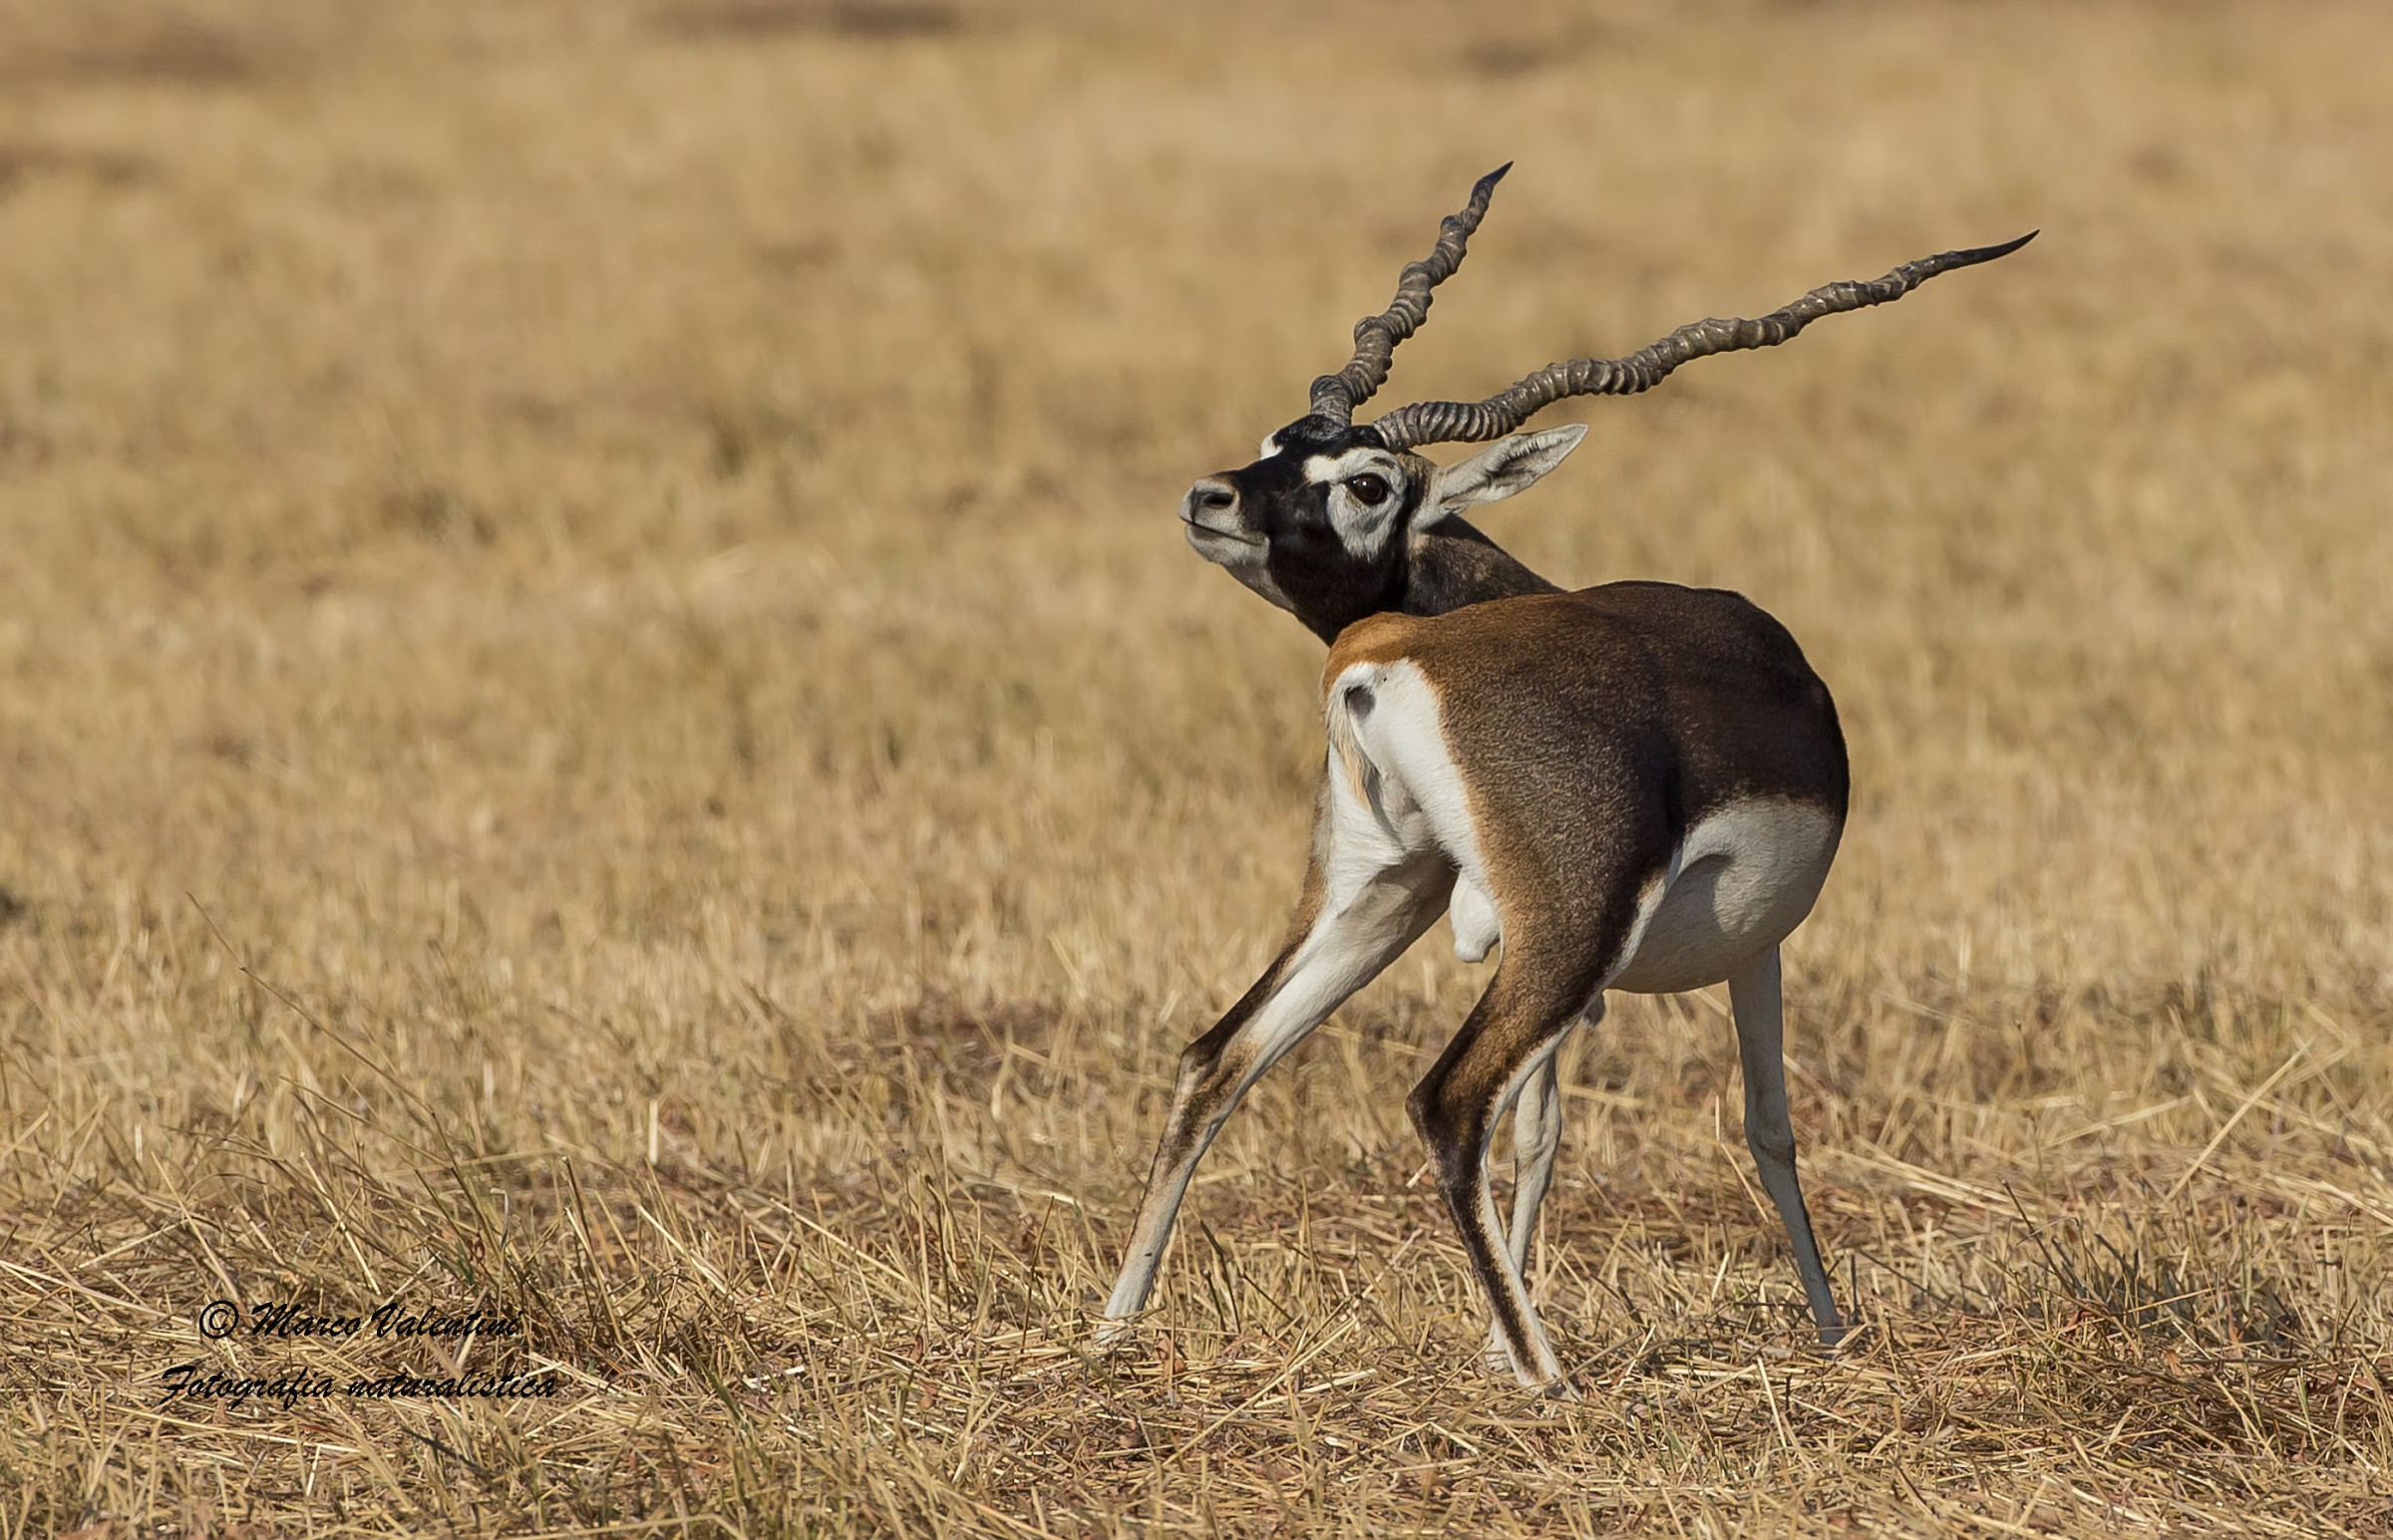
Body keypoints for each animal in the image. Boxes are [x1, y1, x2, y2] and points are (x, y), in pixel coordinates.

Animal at [1096, 168, 2029, 1396]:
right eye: (1280, 446)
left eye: (1355, 475)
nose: (1212, 496)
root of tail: (1386, 656)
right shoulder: (1747, 946)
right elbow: (1766, 1124)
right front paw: (1832, 1329)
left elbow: (1544, 1130)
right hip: (1569, 925)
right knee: (1449, 1101)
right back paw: (1551, 1377)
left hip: (1379, 892)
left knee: (1219, 1055)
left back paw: (1111, 1327)